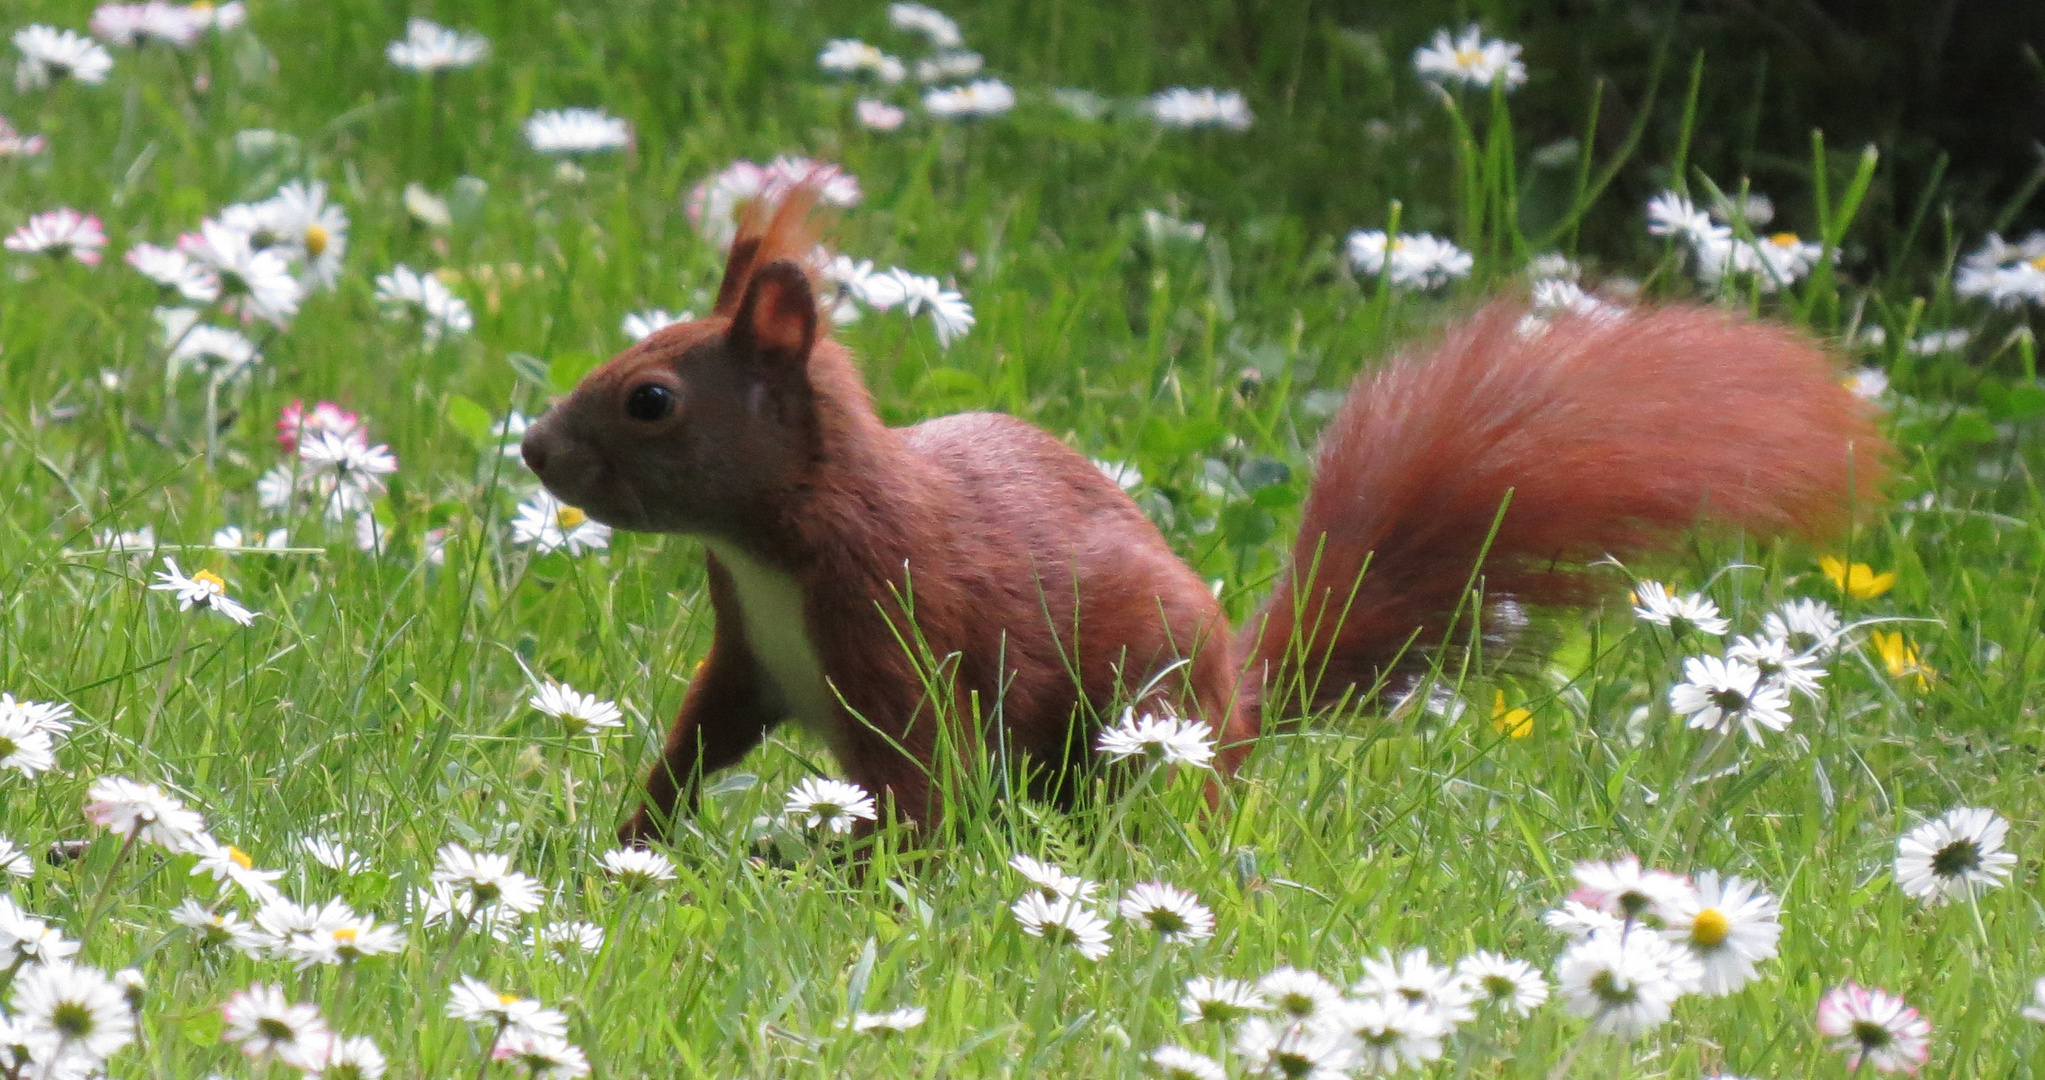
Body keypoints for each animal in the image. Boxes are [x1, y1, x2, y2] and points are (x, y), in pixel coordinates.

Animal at [519, 186, 1889, 842]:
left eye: (650, 399)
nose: (534, 448)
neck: (772, 542)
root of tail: (1235, 706)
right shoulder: (749, 654)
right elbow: (694, 743)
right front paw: (629, 843)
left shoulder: (896, 627)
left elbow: (920, 790)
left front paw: (827, 867)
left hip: (1140, 700)